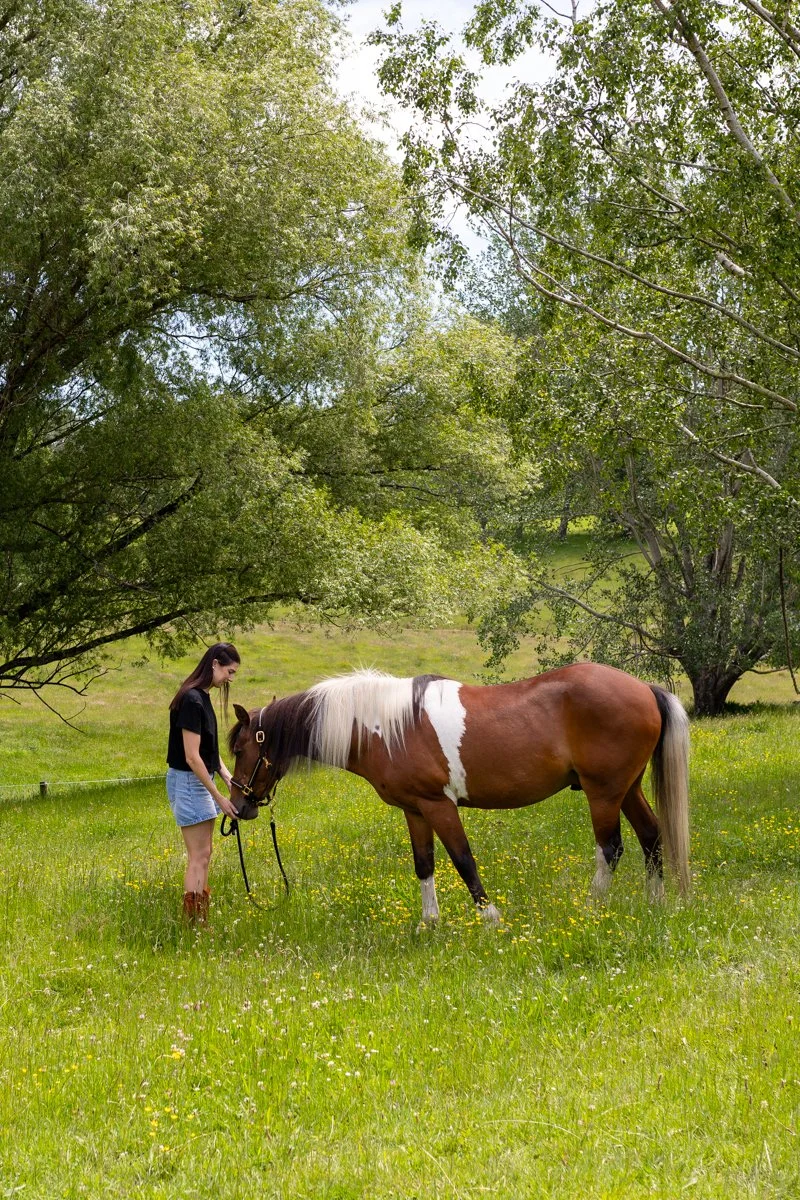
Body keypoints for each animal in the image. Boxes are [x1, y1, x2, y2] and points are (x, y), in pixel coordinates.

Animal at [227, 663, 690, 926]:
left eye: (240, 749)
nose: (240, 807)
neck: (386, 726)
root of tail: (645, 689)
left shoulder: (439, 805)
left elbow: (463, 860)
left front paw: (490, 918)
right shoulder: (414, 810)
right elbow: (424, 864)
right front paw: (428, 924)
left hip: (604, 793)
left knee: (611, 848)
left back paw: (591, 908)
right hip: (627, 789)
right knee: (651, 836)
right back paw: (655, 903)